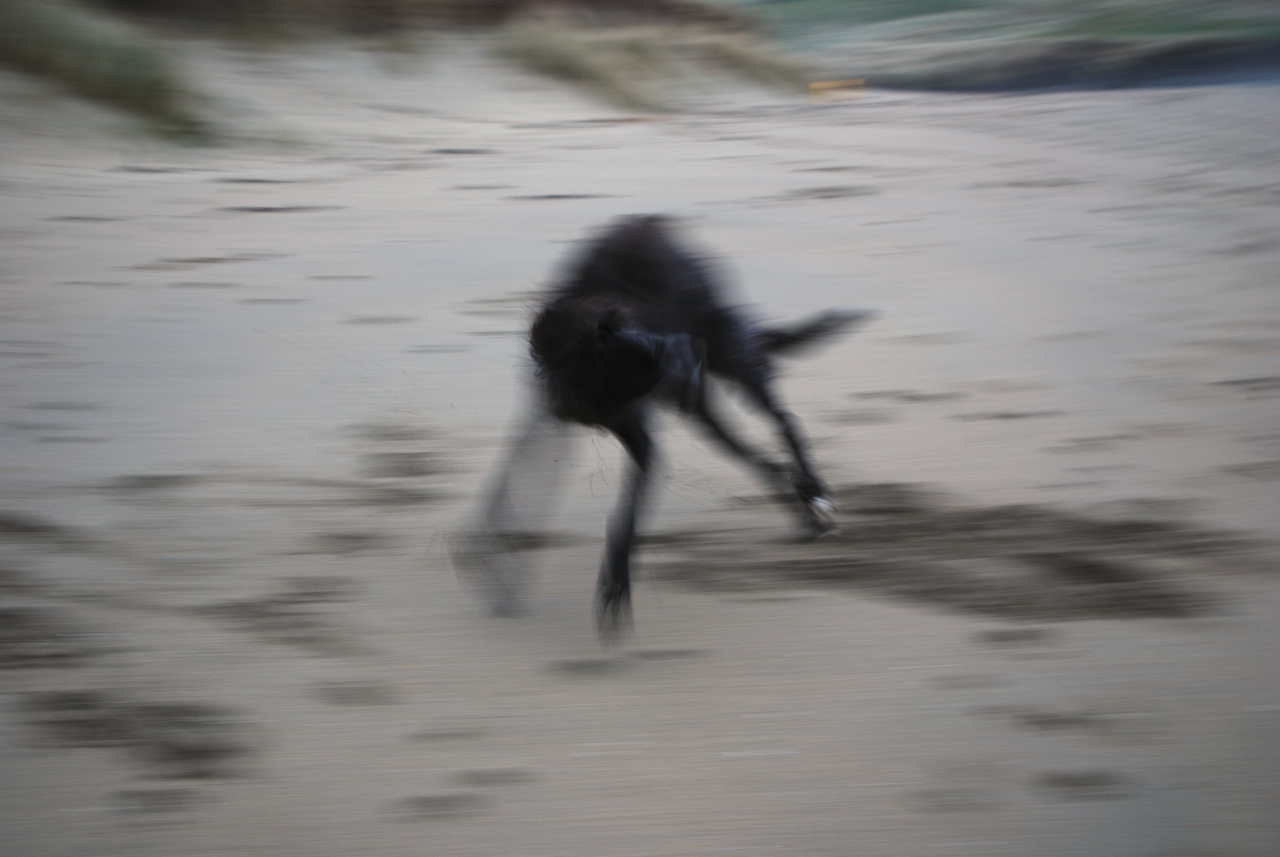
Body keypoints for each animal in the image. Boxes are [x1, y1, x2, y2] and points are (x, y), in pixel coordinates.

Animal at [455, 215, 872, 641]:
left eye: (634, 335)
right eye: (632, 347)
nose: (690, 353)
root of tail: (655, 224)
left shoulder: (641, 438)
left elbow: (626, 516)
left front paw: (616, 583)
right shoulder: (574, 418)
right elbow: (509, 483)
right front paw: (492, 566)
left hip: (731, 358)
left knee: (784, 422)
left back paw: (817, 492)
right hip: (704, 410)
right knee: (760, 458)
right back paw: (804, 512)